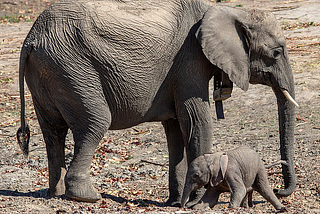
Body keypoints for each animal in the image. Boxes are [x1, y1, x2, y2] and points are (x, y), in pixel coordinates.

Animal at [16, 0, 298, 207]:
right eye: (276, 53)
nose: (281, 191)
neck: (231, 11)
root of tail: (31, 38)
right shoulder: (190, 61)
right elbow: (196, 121)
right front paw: (196, 202)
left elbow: (175, 130)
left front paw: (176, 202)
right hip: (72, 69)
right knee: (95, 123)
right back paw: (86, 197)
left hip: (48, 71)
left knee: (53, 131)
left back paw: (55, 192)